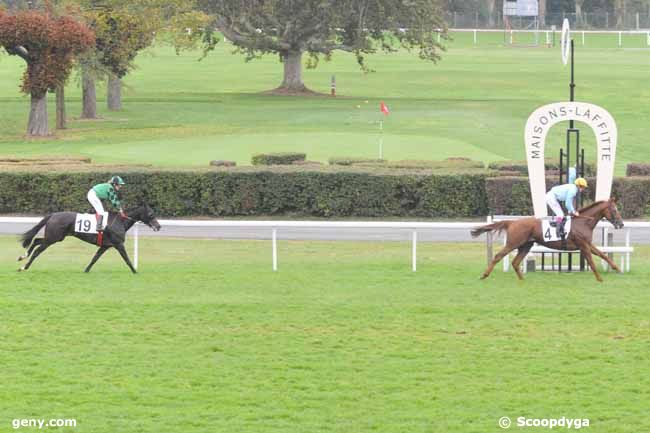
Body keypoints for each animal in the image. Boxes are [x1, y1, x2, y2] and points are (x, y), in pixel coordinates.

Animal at [18, 203, 161, 272]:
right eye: (151, 214)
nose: (158, 226)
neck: (120, 221)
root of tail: (53, 215)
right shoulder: (118, 244)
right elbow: (127, 259)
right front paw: (135, 271)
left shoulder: (105, 246)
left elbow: (94, 258)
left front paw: (86, 270)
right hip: (53, 238)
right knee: (37, 250)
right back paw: (24, 267)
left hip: (55, 237)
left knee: (36, 241)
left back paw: (22, 256)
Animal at [470, 198, 624, 282]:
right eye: (615, 210)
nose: (621, 224)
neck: (583, 222)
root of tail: (512, 222)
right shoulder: (583, 245)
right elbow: (591, 261)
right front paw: (600, 278)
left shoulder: (587, 244)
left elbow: (602, 254)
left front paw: (617, 268)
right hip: (513, 243)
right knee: (498, 256)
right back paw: (484, 275)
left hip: (526, 245)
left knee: (515, 262)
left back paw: (522, 279)